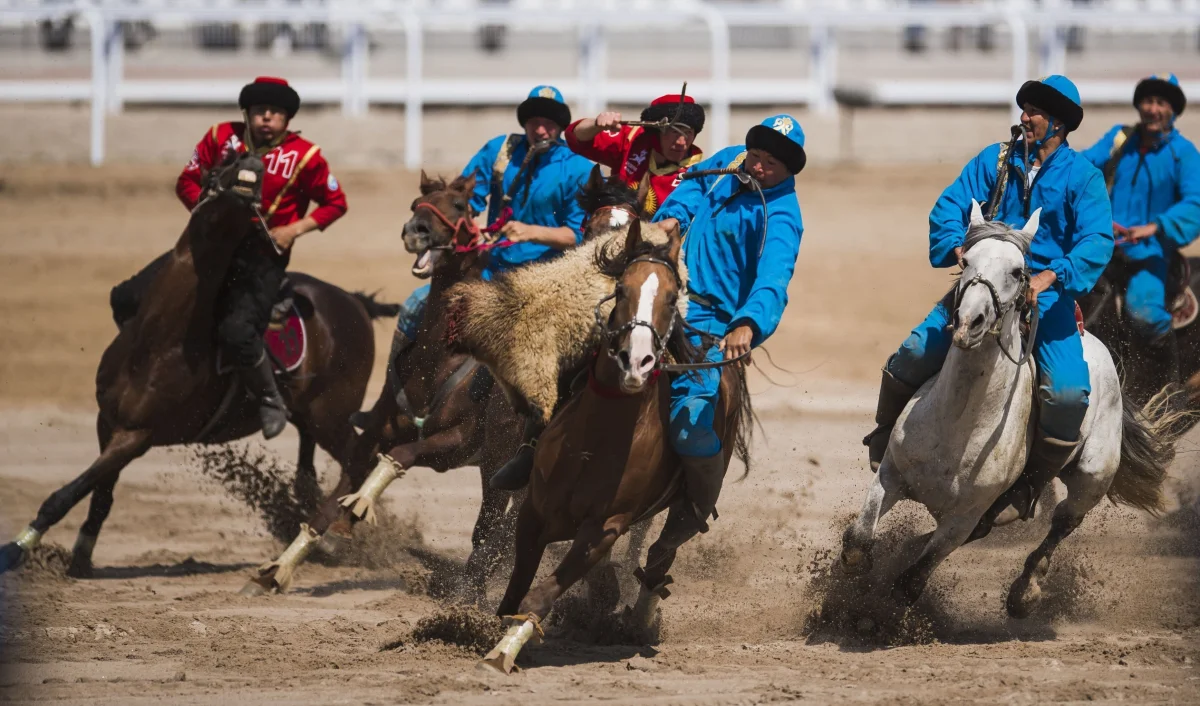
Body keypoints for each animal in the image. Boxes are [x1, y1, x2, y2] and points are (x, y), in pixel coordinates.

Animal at [0, 151, 393, 576]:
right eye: (224, 161)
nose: (251, 162)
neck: (159, 340)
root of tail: (354, 302)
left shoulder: (136, 435)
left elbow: (67, 493)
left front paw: (16, 549)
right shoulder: (107, 422)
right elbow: (100, 494)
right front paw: (81, 557)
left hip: (332, 417)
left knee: (360, 458)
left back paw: (338, 533)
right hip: (312, 418)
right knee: (309, 470)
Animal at [243, 174, 520, 597]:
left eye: (460, 205)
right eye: (416, 204)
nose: (416, 231)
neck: (438, 363)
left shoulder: (454, 444)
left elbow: (401, 455)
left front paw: (355, 510)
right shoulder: (371, 436)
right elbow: (328, 503)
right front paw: (275, 569)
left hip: (498, 462)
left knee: (495, 526)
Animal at [475, 219, 748, 672]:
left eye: (672, 298)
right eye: (621, 289)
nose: (635, 362)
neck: (595, 441)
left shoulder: (604, 528)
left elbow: (539, 597)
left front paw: (502, 653)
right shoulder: (533, 511)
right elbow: (515, 592)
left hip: (685, 508)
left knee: (660, 555)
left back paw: (639, 621)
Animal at [835, 201, 1171, 619]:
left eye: (1017, 271)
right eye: (965, 262)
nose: (969, 322)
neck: (958, 423)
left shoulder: (962, 519)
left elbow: (910, 582)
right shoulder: (891, 476)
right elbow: (858, 545)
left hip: (1092, 477)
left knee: (1063, 522)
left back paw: (1025, 591)